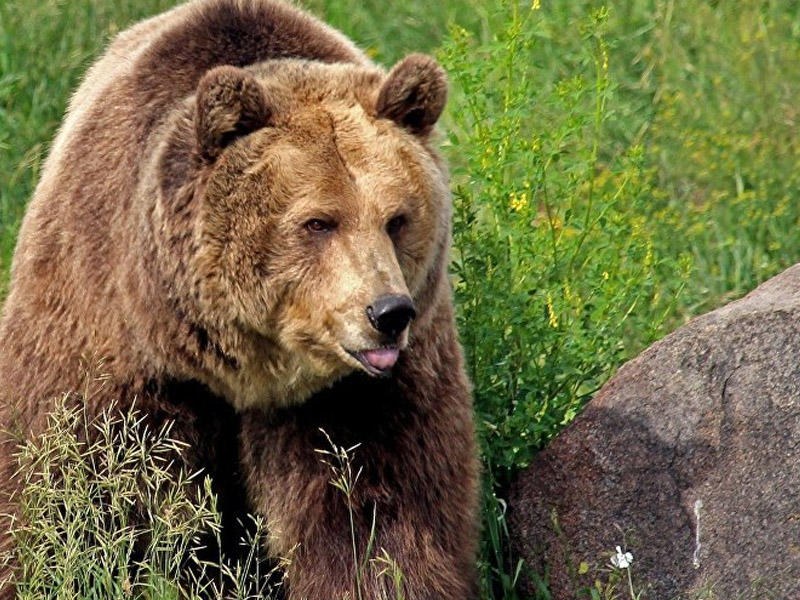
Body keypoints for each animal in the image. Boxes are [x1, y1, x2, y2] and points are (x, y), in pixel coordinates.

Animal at [0, 2, 478, 596]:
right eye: (318, 221)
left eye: (397, 219)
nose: (388, 313)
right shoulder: (110, 339)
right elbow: (72, 482)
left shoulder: (360, 397)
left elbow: (375, 513)